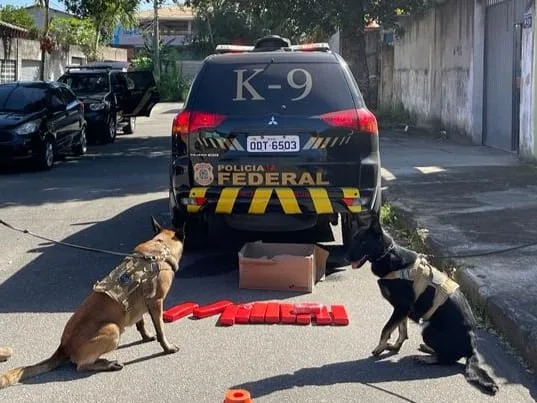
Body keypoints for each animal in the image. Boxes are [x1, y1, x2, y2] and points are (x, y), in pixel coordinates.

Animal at [0, 218, 184, 392]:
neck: (160, 247)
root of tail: (64, 347)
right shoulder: (156, 302)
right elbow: (160, 331)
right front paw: (167, 348)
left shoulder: (139, 305)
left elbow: (141, 323)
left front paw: (146, 336)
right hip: (112, 329)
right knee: (81, 366)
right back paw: (108, 364)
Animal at [348, 213, 498, 396]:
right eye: (354, 239)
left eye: (363, 242)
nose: (346, 257)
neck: (388, 255)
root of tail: (472, 347)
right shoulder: (403, 310)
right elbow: (401, 330)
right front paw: (395, 346)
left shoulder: (401, 308)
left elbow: (386, 329)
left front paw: (379, 348)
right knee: (446, 354)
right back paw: (428, 350)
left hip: (428, 328)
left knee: (447, 359)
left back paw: (427, 358)